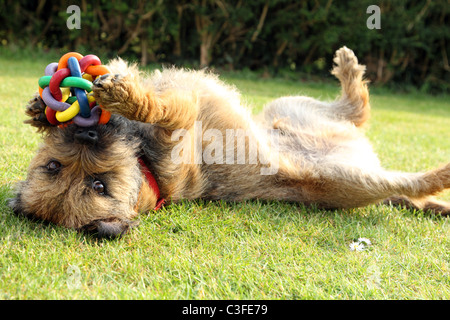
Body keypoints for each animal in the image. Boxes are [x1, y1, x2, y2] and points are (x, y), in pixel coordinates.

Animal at [7, 47, 450, 238]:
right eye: (98, 186)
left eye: (51, 166)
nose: (87, 133)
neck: (148, 169)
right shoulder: (176, 127)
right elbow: (162, 108)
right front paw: (128, 97)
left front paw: (40, 109)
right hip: (354, 178)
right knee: (407, 174)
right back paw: (440, 172)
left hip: (289, 106)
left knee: (355, 109)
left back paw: (347, 68)